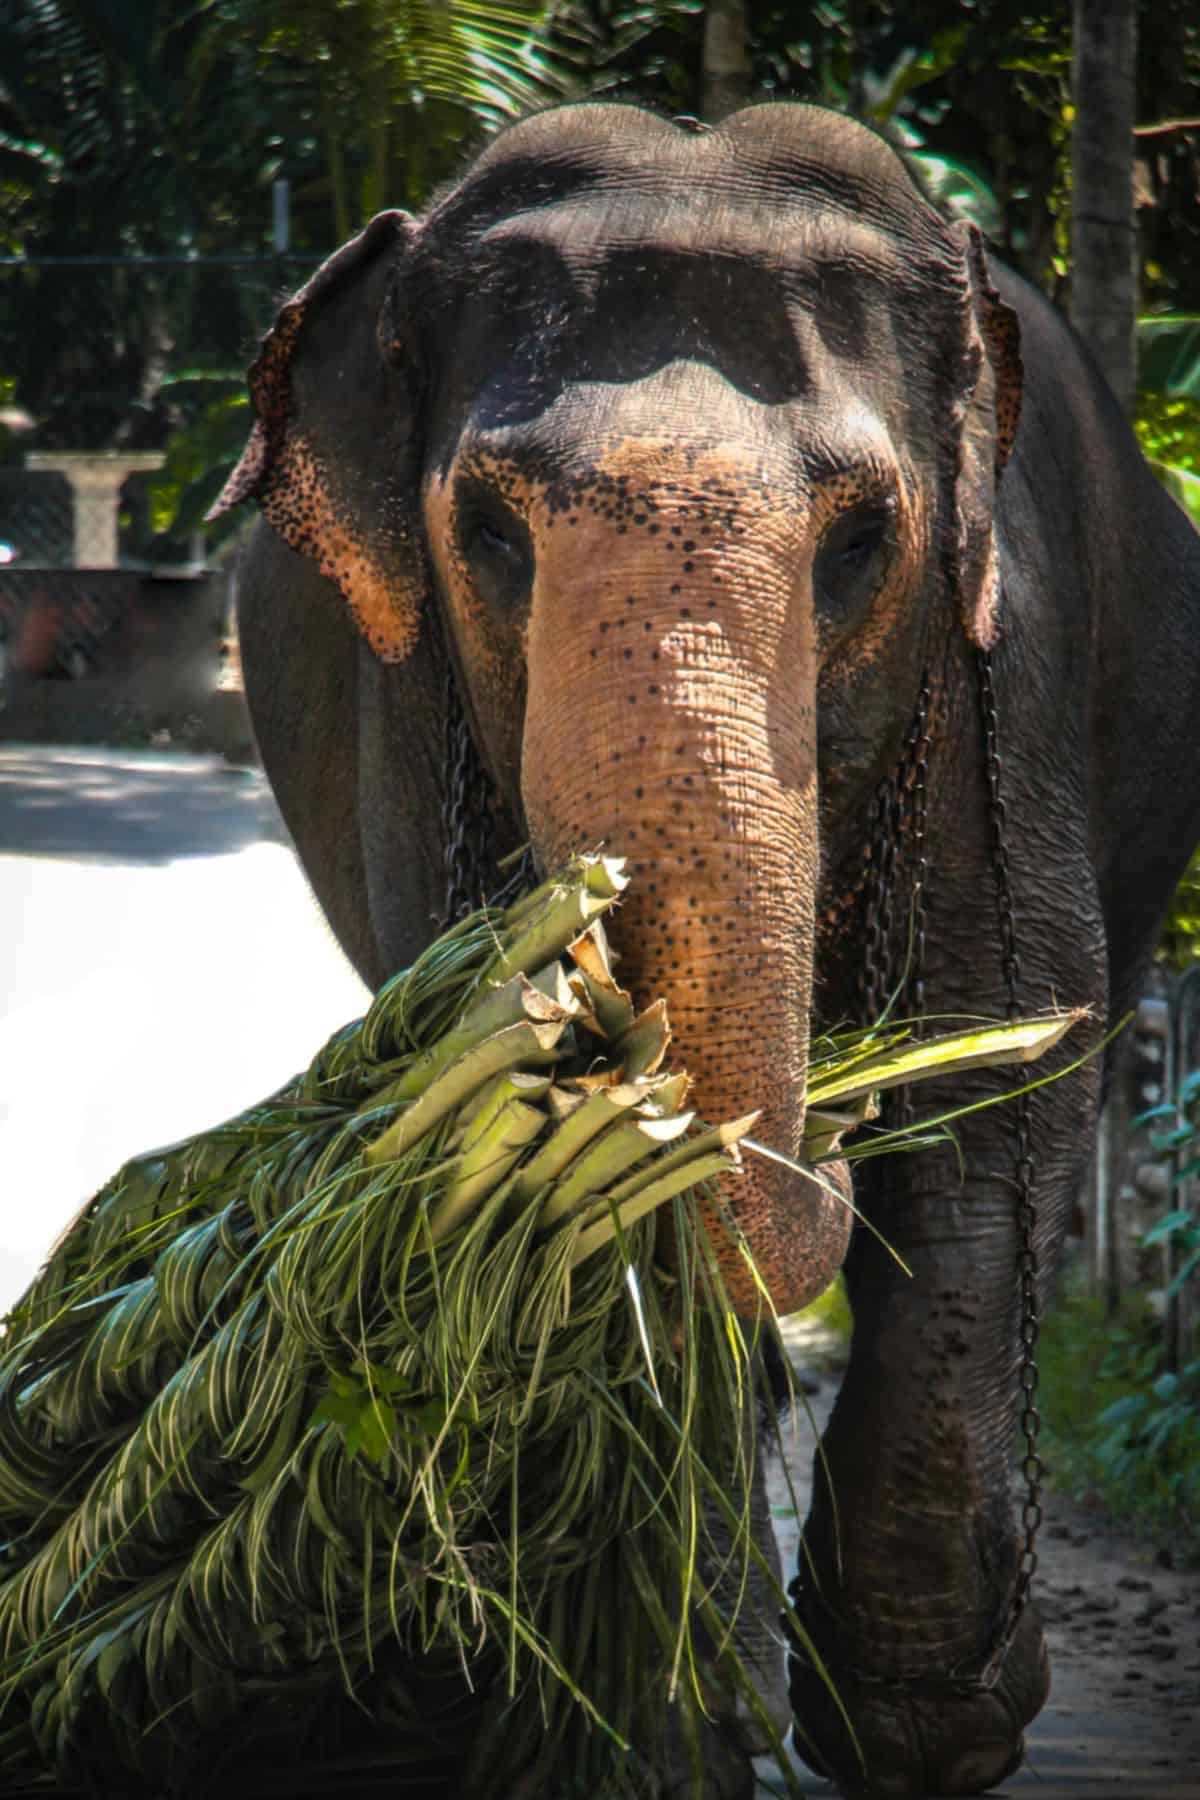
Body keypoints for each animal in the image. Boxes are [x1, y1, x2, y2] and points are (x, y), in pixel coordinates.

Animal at [214, 102, 1200, 1798]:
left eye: (865, 539)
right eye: (486, 530)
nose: (820, 1124)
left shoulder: (1002, 683)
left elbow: (1001, 1080)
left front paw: (927, 1735)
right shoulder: (405, 714)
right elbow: (560, 1156)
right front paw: (669, 1727)